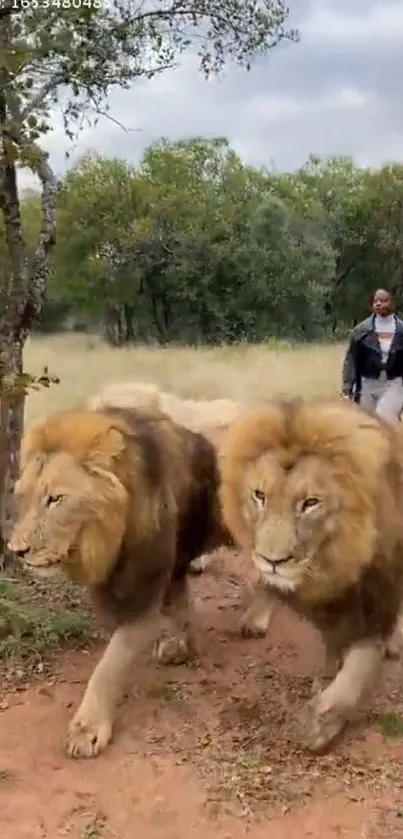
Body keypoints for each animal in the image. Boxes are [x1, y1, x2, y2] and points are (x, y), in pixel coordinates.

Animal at [7, 406, 232, 760]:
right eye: (23, 498)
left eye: (55, 499)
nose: (16, 550)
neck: (108, 539)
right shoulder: (124, 583)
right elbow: (178, 607)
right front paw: (184, 647)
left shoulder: (145, 588)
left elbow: (110, 663)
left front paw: (88, 729)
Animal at [221, 398, 403, 756]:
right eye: (259, 495)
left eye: (310, 503)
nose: (272, 560)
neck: (333, 566)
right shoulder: (327, 610)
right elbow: (334, 650)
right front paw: (327, 678)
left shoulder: (377, 601)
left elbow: (360, 666)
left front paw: (322, 723)